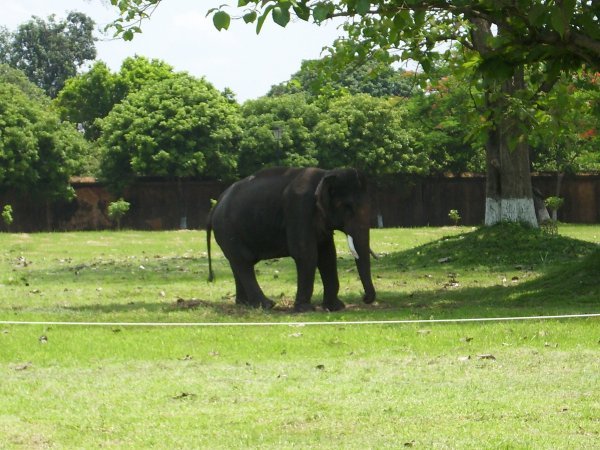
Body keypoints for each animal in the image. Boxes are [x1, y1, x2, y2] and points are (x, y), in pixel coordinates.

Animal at [206, 166, 376, 312]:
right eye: (348, 206)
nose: (365, 298)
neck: (325, 174)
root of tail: (216, 205)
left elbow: (327, 256)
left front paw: (336, 307)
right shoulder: (298, 208)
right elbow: (305, 253)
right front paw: (305, 309)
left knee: (236, 263)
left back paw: (244, 304)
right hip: (226, 229)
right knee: (243, 262)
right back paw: (267, 305)